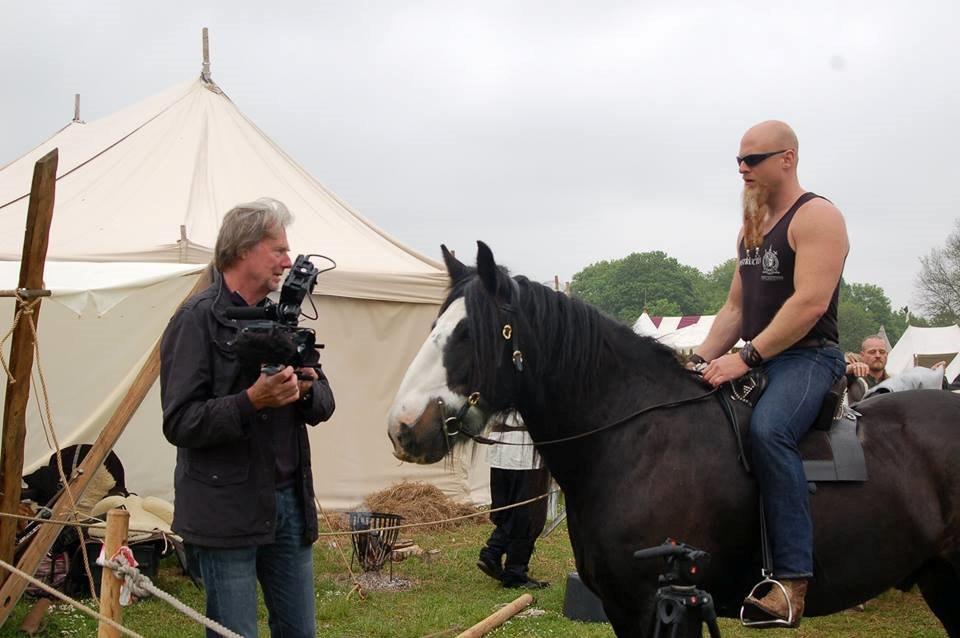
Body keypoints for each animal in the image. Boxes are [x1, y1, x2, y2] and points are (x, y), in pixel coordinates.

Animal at [384, 242, 960, 636]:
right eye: (434, 326)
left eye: (468, 334)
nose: (404, 427)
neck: (635, 438)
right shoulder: (624, 608)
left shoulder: (664, 604)